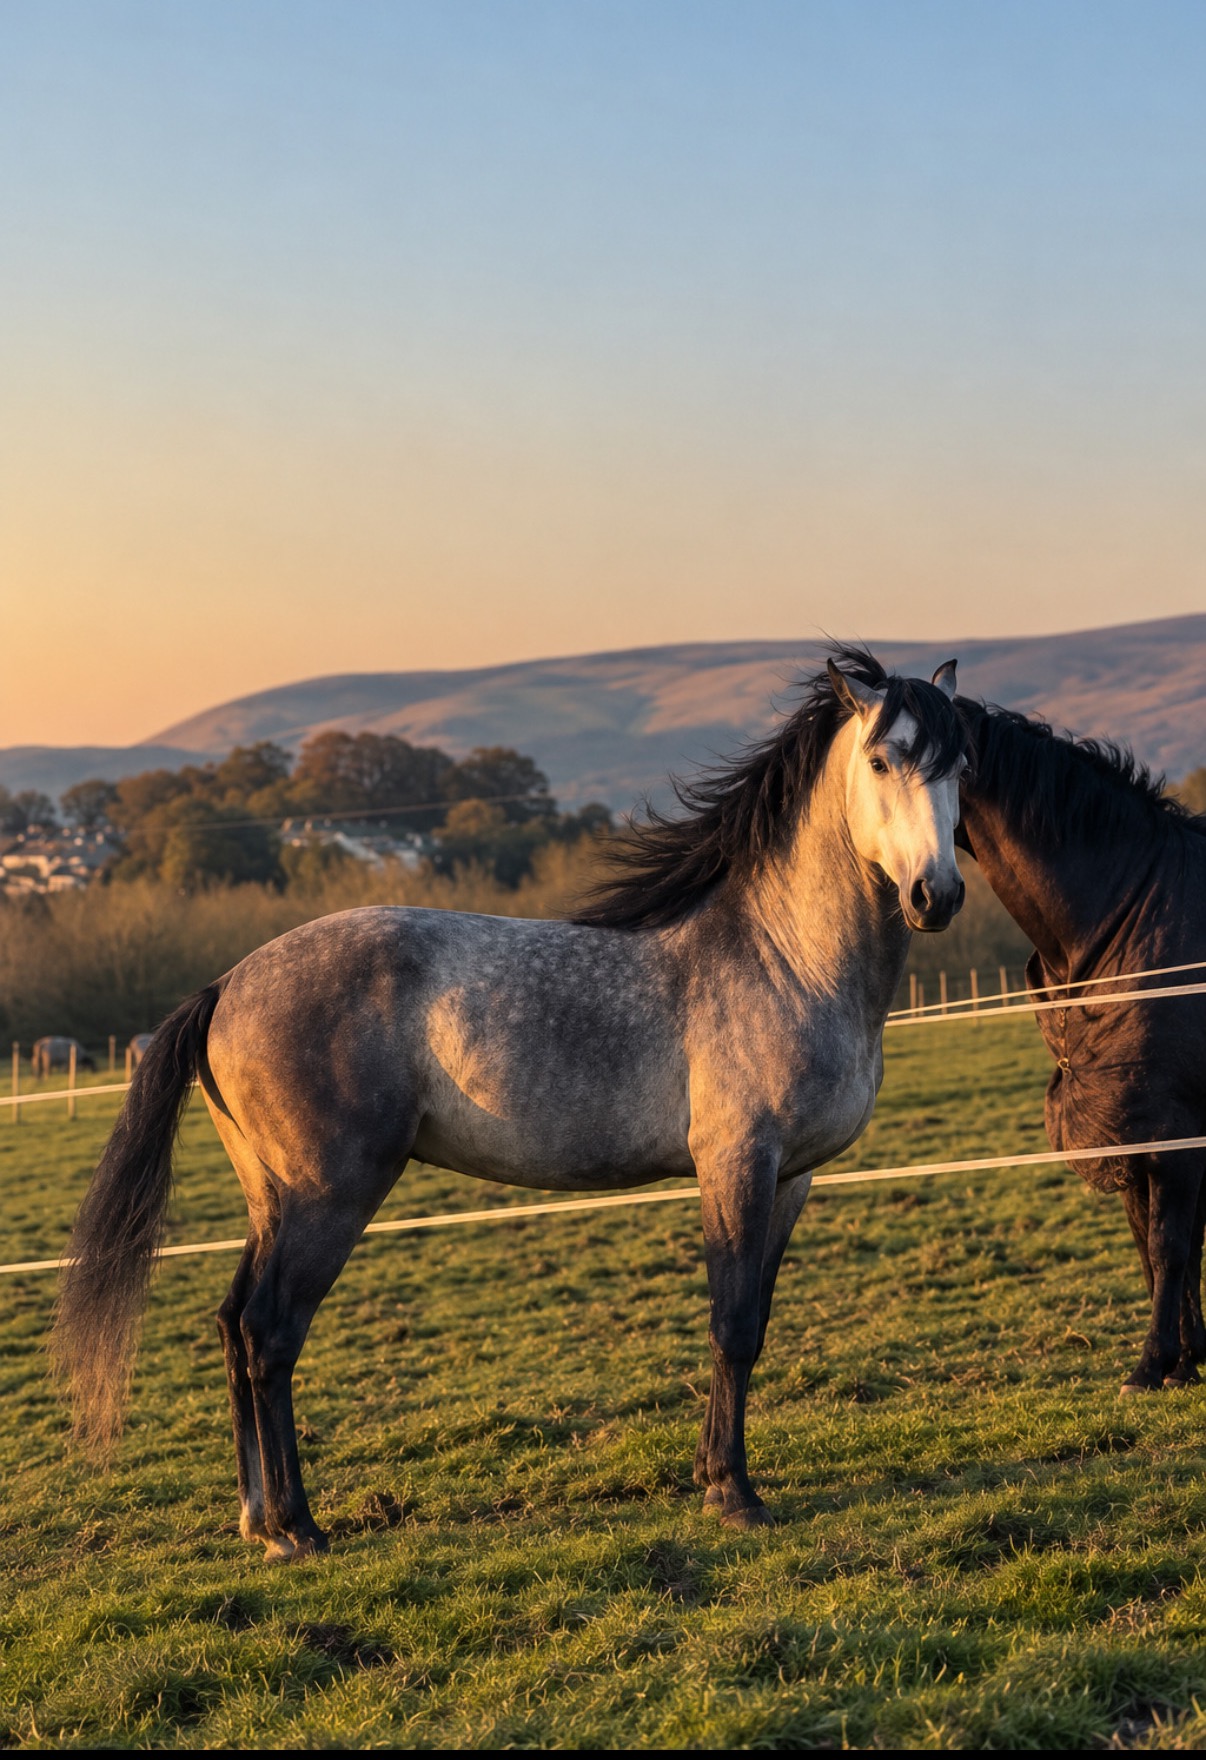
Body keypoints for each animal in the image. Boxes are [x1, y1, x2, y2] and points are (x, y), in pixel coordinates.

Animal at [54, 649, 968, 1561]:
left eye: (960, 766)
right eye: (881, 762)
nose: (938, 896)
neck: (782, 957)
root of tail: (226, 986)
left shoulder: (790, 1181)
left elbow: (756, 1326)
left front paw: (718, 1478)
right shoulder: (736, 1167)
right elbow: (732, 1327)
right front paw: (733, 1494)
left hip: (271, 1200)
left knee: (232, 1323)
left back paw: (256, 1519)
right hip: (328, 1199)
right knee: (269, 1335)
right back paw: (297, 1526)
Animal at [957, 698, 1206, 1394]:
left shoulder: (1173, 1135)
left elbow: (1170, 1248)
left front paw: (1153, 1365)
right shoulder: (1129, 1137)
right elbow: (1156, 1248)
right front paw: (1186, 1361)